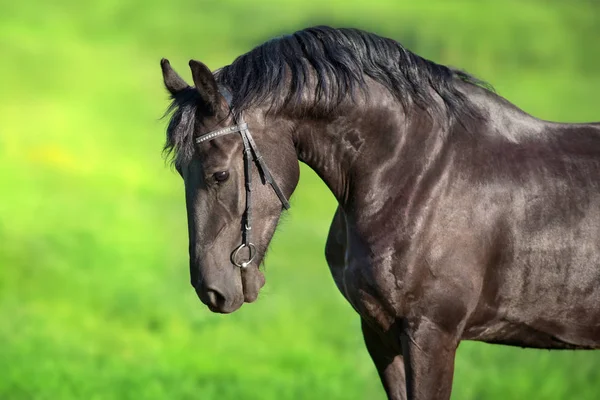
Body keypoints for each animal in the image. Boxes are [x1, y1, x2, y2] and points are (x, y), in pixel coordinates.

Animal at [159, 26, 600, 398]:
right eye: (181, 170)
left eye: (219, 174)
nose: (211, 290)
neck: (419, 175)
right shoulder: (380, 332)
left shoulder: (432, 335)